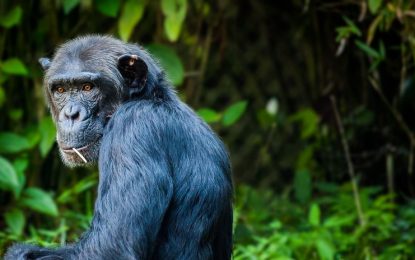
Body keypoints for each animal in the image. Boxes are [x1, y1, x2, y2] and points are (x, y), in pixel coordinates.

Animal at [4, 35, 234, 260]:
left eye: (88, 87)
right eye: (61, 90)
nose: (70, 114)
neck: (151, 99)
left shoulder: (132, 131)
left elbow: (110, 248)